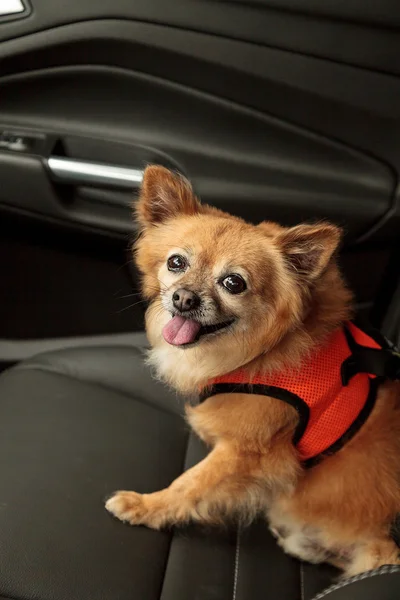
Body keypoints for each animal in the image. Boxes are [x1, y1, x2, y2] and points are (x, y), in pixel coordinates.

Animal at [104, 164, 400, 576]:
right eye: (176, 263)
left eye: (234, 283)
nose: (184, 298)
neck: (260, 350)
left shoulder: (245, 452)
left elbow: (190, 484)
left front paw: (147, 506)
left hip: (375, 549)